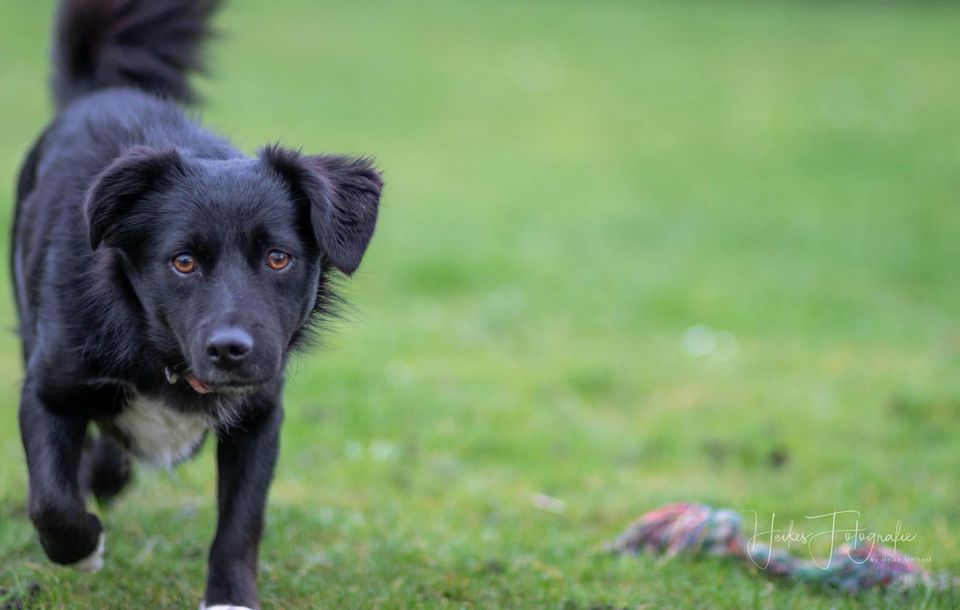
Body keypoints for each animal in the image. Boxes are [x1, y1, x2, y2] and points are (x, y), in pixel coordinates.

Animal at [12, 1, 382, 604]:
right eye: (182, 262)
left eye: (278, 258)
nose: (231, 350)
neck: (160, 349)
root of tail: (104, 88)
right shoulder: (49, 387)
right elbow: (52, 502)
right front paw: (84, 548)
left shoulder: (259, 414)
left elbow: (241, 522)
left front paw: (230, 597)